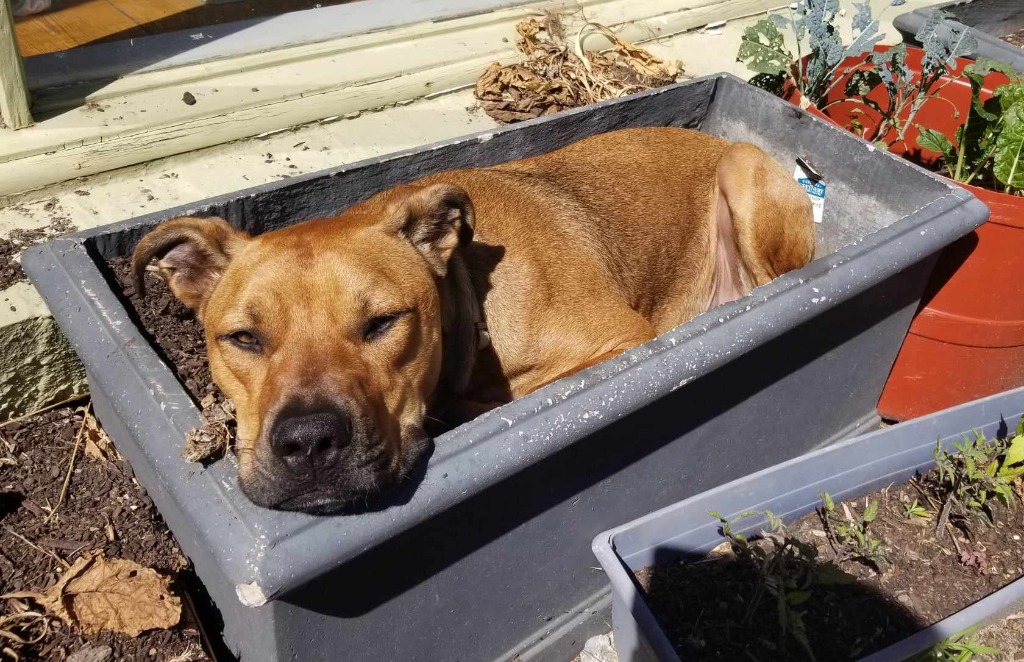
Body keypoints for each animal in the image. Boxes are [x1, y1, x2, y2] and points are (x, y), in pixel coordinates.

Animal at [132, 127, 814, 513]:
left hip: (743, 176)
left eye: (383, 323)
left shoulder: (620, 340)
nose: (307, 442)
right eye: (243, 339)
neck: (469, 300)